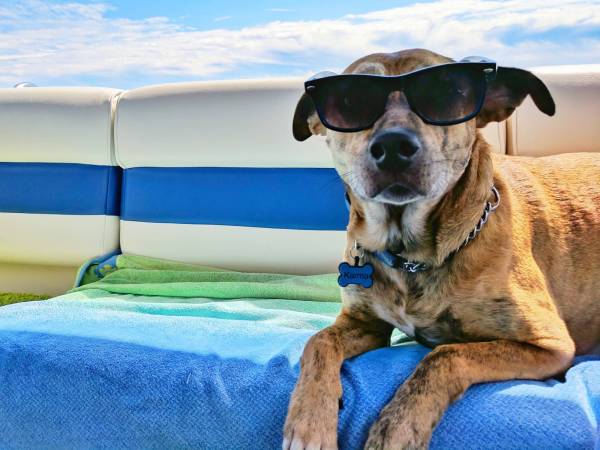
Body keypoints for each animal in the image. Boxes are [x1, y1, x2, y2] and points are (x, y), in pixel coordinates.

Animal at [282, 47, 600, 448]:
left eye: (447, 91)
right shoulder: (364, 324)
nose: (393, 147)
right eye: (349, 100)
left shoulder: (550, 344)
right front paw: (308, 422)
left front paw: (397, 428)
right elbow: (318, 341)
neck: (410, 255)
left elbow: (444, 355)